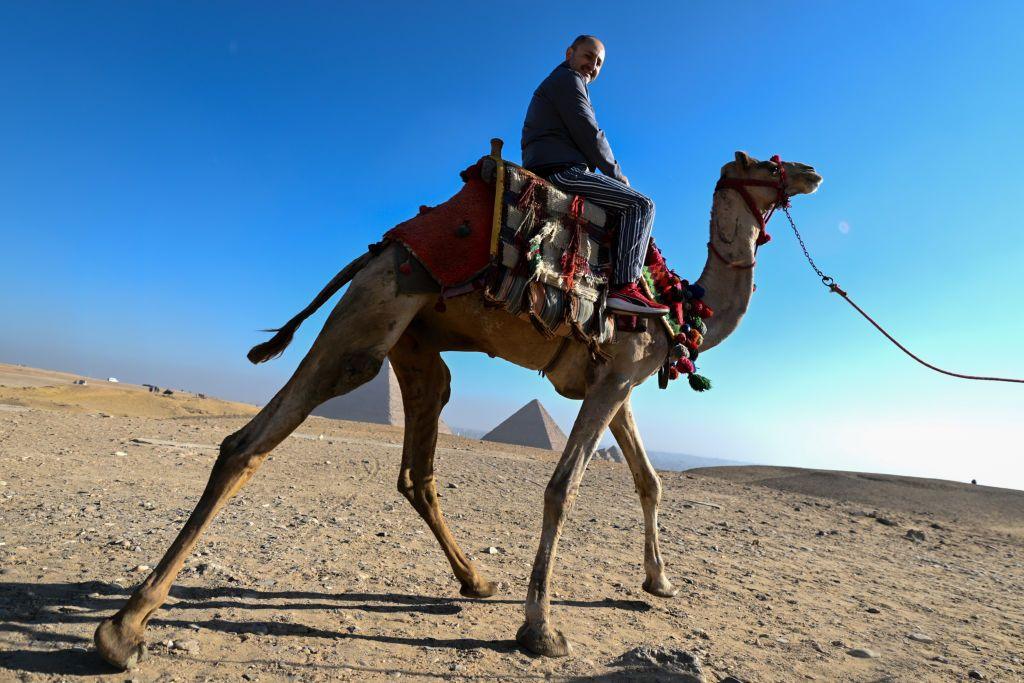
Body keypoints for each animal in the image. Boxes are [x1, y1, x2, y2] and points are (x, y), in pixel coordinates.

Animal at [96, 149, 823, 667]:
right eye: (764, 163)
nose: (812, 172)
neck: (676, 302)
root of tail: (378, 249)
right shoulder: (618, 374)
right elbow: (564, 487)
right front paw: (541, 630)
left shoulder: (616, 381)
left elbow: (649, 480)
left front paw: (660, 583)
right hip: (374, 316)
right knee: (249, 444)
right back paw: (123, 630)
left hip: (416, 347)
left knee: (415, 470)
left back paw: (476, 580)